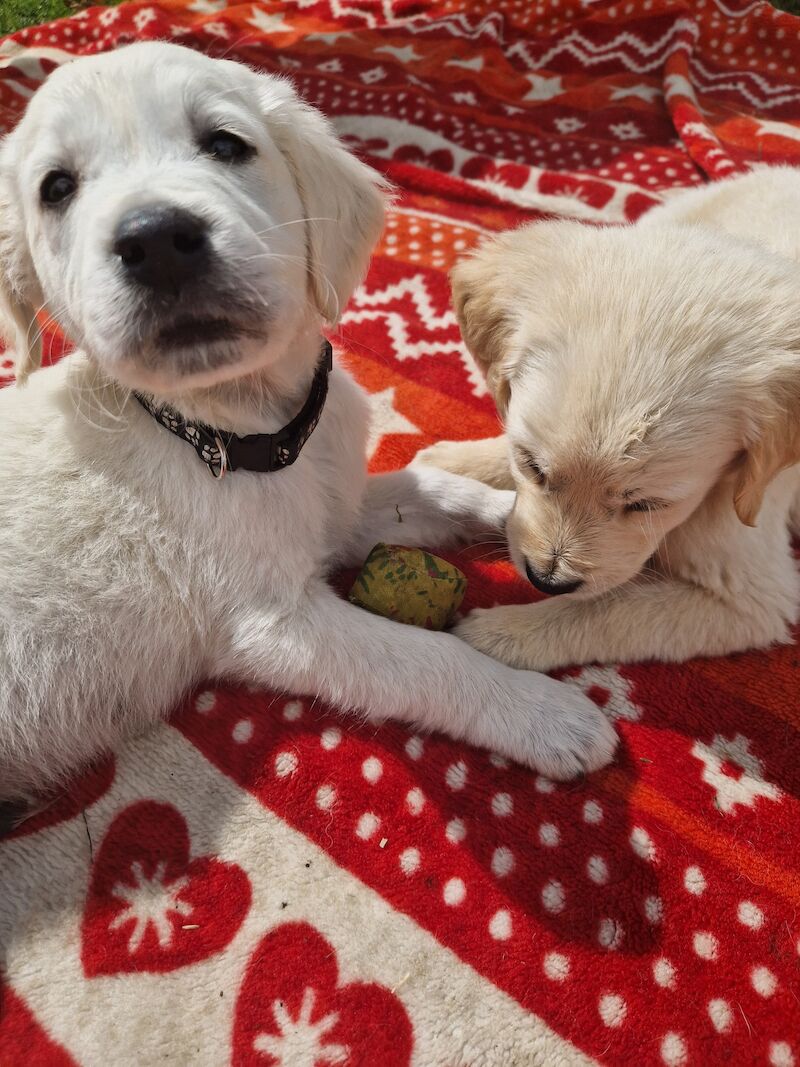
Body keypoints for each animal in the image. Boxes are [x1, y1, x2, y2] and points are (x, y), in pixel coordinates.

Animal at [0, 37, 618, 810]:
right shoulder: (275, 622)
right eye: (56, 188)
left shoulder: (335, 511)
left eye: (225, 143)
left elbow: (429, 488)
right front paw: (545, 712)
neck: (248, 428)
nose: (157, 240)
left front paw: (517, 519)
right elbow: (427, 657)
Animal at [416, 165, 800, 665]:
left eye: (647, 505)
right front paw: (456, 464)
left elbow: (603, 609)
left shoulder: (748, 593)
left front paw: (502, 634)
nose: (547, 580)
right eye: (532, 467)